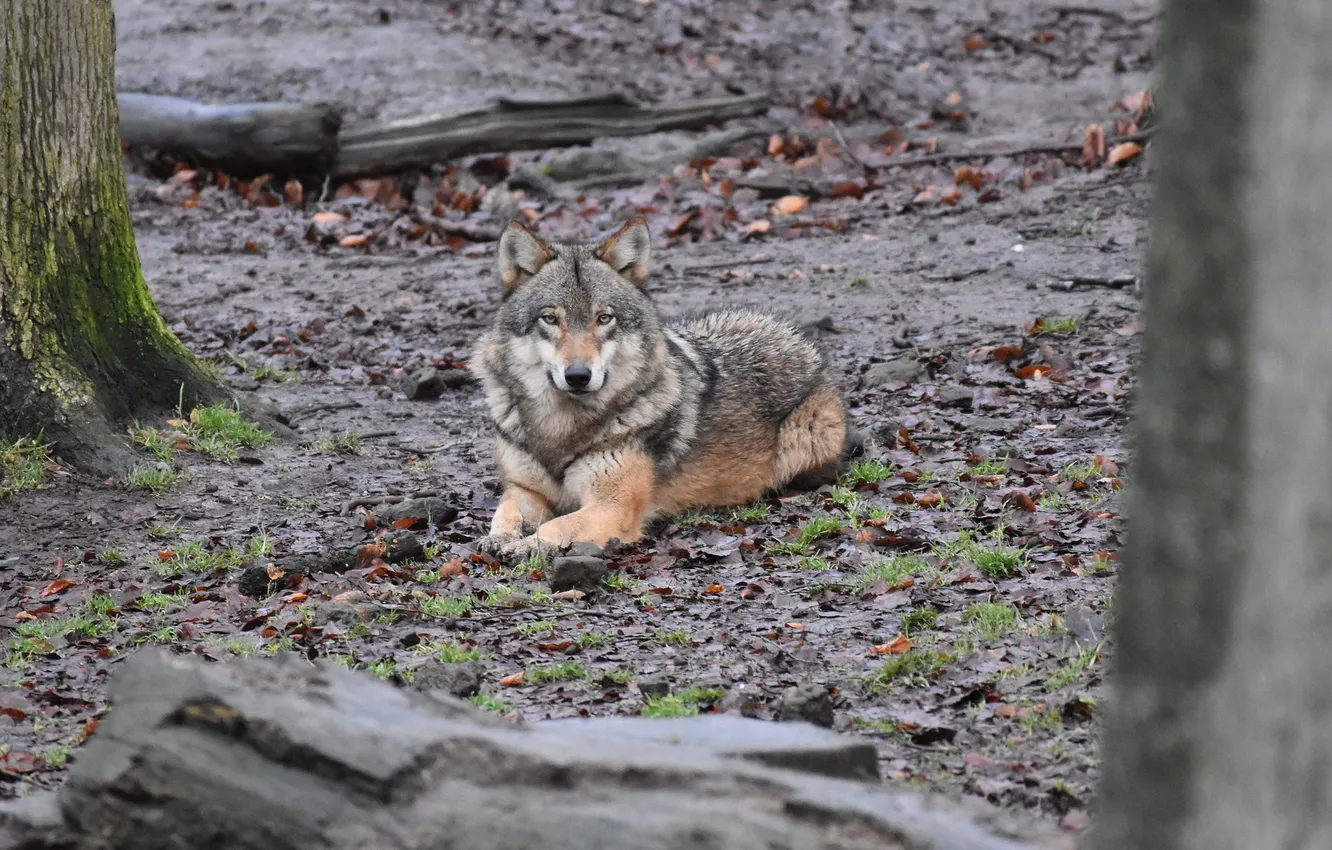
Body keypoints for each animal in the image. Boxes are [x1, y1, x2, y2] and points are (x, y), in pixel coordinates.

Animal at [470, 217, 852, 561]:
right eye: (550, 319)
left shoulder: (613, 506)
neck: (560, 429)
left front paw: (526, 545)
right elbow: (506, 512)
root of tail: (797, 338)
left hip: (806, 439)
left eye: (604, 318)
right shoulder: (524, 489)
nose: (578, 375)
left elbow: (556, 526)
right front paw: (500, 537)